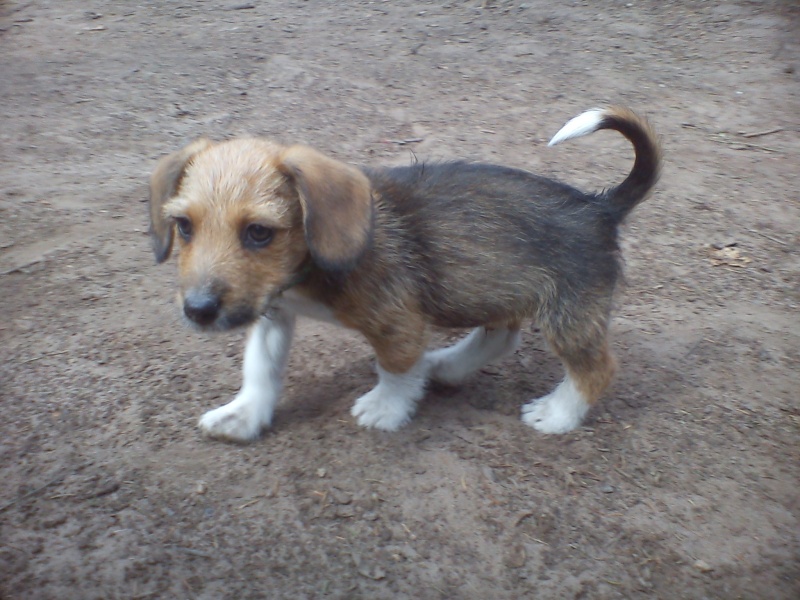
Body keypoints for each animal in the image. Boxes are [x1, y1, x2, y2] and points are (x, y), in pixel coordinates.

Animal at [147, 106, 660, 440]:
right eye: (184, 226)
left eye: (258, 232)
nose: (198, 311)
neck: (306, 271)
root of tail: (600, 206)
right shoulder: (273, 312)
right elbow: (261, 368)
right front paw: (244, 416)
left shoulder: (397, 322)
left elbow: (394, 368)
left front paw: (385, 409)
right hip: (493, 284)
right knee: (500, 335)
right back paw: (447, 366)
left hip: (567, 316)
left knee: (595, 369)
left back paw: (556, 415)